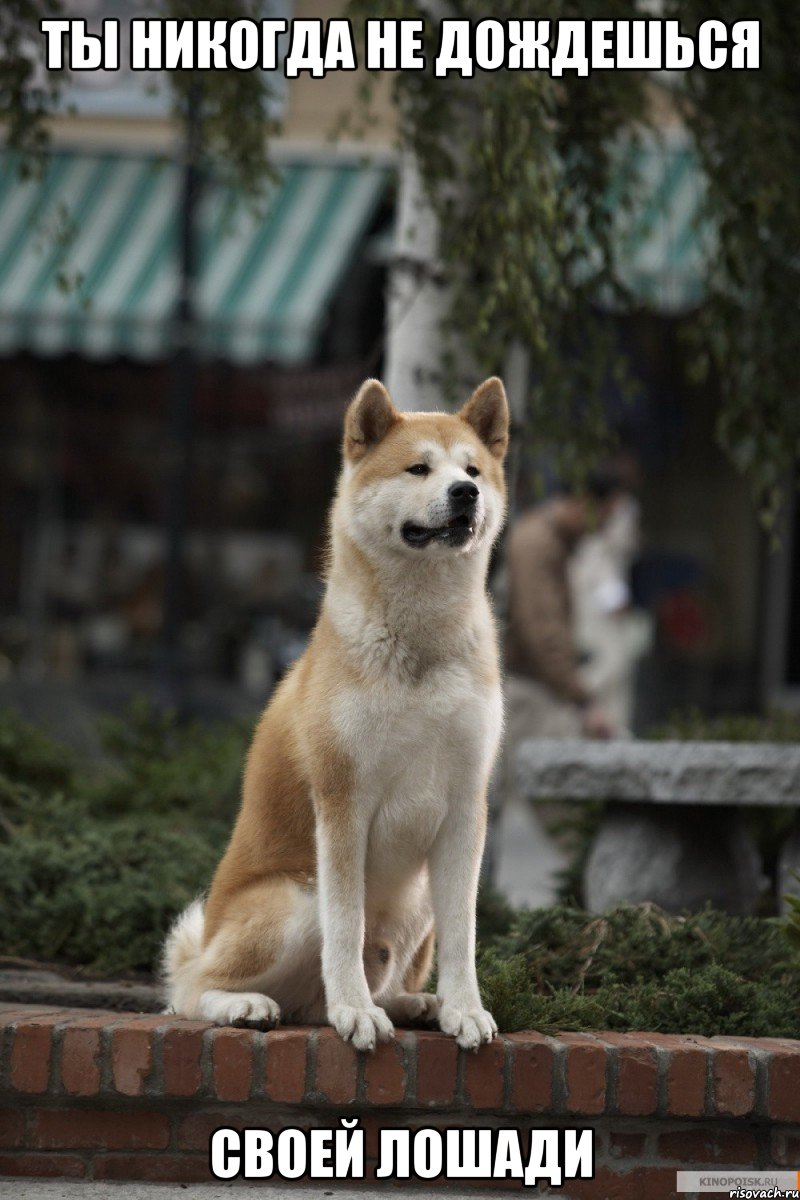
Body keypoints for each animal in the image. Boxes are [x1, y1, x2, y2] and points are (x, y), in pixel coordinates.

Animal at [165, 376, 510, 1051]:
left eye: (473, 470)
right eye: (418, 468)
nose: (466, 493)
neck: (420, 644)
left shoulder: (466, 806)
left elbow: (465, 935)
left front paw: (464, 1008)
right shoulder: (343, 801)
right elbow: (346, 928)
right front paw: (355, 1011)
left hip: (417, 900)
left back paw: (415, 1004)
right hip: (296, 900)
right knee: (189, 990)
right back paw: (250, 1005)